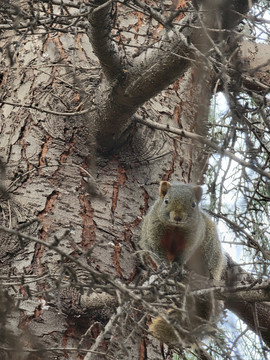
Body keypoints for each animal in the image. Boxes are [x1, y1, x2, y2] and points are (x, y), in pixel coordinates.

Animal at [139, 181, 224, 344]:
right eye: (166, 201)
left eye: (193, 204)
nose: (178, 217)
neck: (175, 228)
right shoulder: (152, 232)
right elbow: (156, 250)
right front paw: (165, 265)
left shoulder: (194, 237)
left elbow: (184, 254)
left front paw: (178, 267)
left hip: (209, 250)